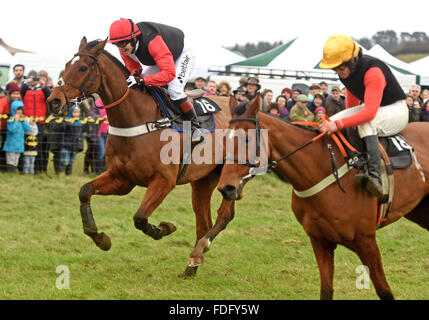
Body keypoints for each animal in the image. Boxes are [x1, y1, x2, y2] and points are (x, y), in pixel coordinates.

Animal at [47, 38, 236, 278]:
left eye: (82, 68)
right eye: (66, 64)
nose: (53, 101)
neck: (138, 119)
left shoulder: (164, 181)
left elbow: (139, 218)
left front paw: (163, 229)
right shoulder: (122, 179)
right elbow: (84, 191)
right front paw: (101, 238)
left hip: (229, 175)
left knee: (224, 216)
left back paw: (201, 250)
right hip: (203, 180)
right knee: (204, 222)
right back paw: (192, 265)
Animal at [217, 96, 428, 298]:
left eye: (246, 140)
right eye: (224, 139)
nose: (226, 188)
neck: (321, 168)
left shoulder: (366, 240)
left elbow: (384, 291)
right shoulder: (320, 240)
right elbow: (326, 290)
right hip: (419, 211)